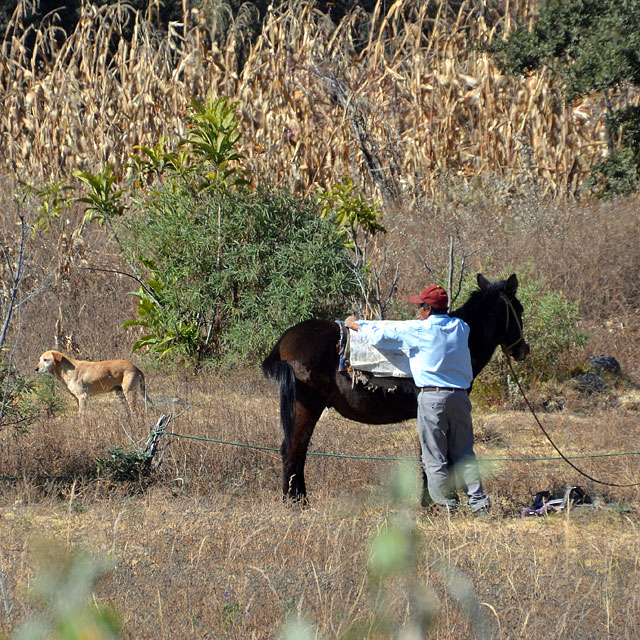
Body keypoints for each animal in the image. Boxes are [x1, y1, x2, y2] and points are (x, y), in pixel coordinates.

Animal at [262, 274, 528, 500]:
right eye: (519, 309)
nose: (522, 350)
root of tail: (284, 339)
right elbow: (437, 456)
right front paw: (434, 503)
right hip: (307, 407)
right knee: (293, 449)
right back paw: (296, 503)